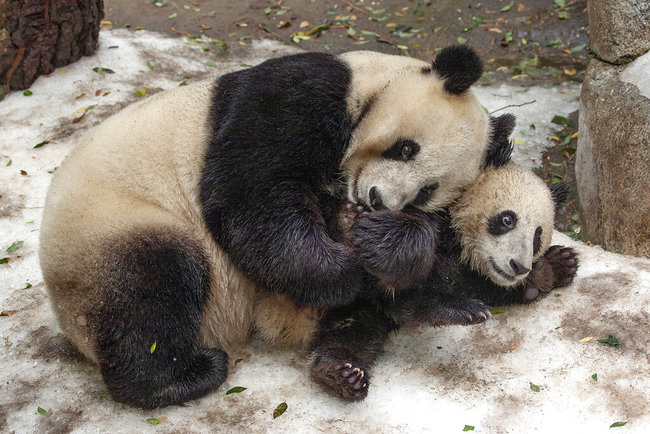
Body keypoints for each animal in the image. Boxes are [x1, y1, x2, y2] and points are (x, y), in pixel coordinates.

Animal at [38, 44, 512, 406]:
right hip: (110, 226)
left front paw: (382, 246)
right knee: (153, 287)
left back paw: (367, 352)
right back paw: (183, 377)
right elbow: (250, 195)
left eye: (427, 191)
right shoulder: (295, 98)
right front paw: (344, 269)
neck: (370, 83)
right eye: (406, 148)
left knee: (364, 316)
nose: (377, 200)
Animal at [258, 162, 576, 400]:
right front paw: (461, 309)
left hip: (351, 310)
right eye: (507, 219)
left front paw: (556, 266)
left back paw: (340, 374)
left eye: (537, 237)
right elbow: (406, 291)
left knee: (352, 334)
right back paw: (347, 222)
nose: (518, 266)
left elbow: (483, 285)